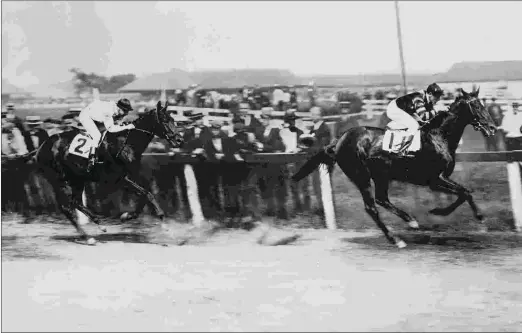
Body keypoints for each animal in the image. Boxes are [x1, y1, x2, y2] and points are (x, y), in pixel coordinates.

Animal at [24, 100, 184, 244]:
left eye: (173, 120)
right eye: (165, 120)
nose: (180, 140)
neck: (126, 143)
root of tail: (40, 147)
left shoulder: (132, 176)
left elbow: (145, 194)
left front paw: (127, 216)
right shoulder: (121, 179)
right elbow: (147, 194)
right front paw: (164, 222)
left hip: (78, 178)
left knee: (76, 202)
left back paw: (99, 224)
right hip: (61, 180)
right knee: (66, 208)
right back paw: (88, 237)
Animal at [292, 87, 496, 248]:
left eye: (483, 105)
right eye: (476, 106)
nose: (493, 127)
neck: (439, 137)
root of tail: (339, 139)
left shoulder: (438, 180)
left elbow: (463, 193)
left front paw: (439, 212)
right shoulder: (435, 179)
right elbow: (465, 192)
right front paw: (476, 217)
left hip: (380, 175)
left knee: (382, 200)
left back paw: (409, 222)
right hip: (361, 176)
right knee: (372, 207)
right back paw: (396, 238)